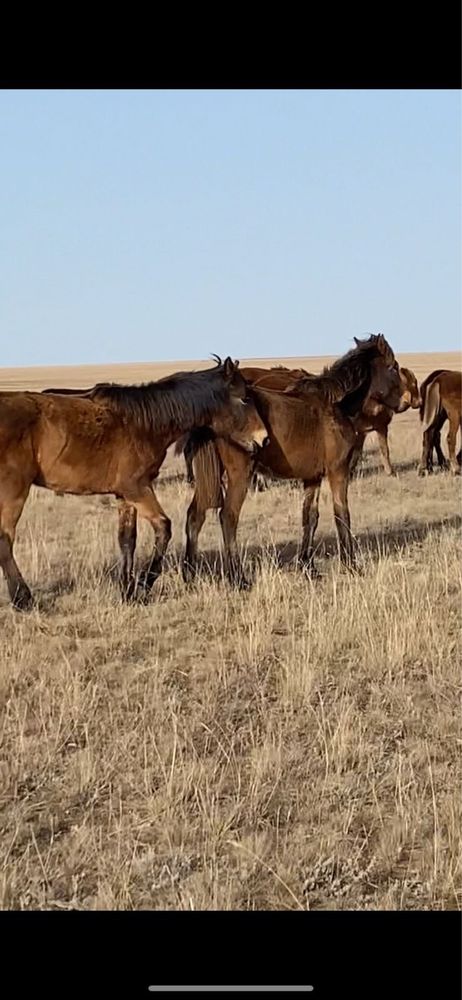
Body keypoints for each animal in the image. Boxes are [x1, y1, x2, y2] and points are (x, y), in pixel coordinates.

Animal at [0, 360, 268, 608]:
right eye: (244, 398)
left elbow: (127, 539)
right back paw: (22, 597)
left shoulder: (124, 495)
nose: (263, 439)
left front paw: (127, 592)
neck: (143, 423)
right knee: (5, 538)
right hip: (14, 491)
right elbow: (163, 528)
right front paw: (143, 584)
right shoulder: (137, 488)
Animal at [182, 336, 402, 584]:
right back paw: (238, 578)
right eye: (393, 367)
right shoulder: (338, 471)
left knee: (195, 516)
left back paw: (189, 574)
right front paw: (351, 565)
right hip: (239, 475)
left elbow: (310, 517)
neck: (336, 405)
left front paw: (308, 567)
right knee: (228, 517)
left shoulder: (313, 477)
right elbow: (342, 514)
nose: (401, 403)